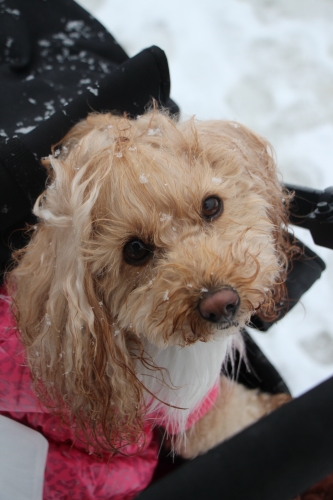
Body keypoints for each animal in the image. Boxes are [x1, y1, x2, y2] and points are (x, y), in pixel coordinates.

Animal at [3, 111, 292, 498]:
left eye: (211, 205)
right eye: (135, 250)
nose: (221, 304)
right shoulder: (190, 409)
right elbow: (238, 415)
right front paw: (278, 404)